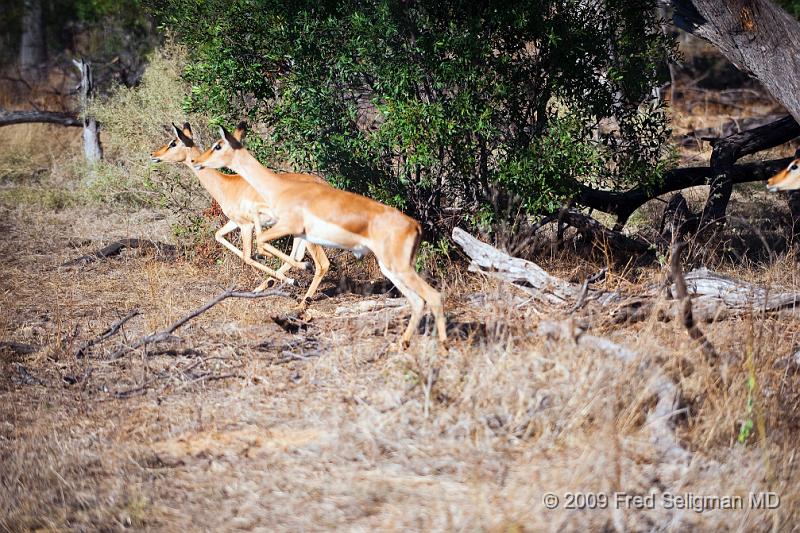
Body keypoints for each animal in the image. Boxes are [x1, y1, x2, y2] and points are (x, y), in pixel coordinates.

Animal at [150, 121, 328, 300]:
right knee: (298, 254)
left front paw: (289, 277)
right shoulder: (235, 222)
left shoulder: (246, 225)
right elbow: (219, 236)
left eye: (173, 143)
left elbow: (247, 257)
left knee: (321, 263)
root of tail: (323, 183)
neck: (226, 185)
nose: (153, 154)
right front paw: (289, 279)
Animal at [191, 123, 446, 350]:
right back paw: (402, 344)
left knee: (433, 297)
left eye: (218, 145)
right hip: (390, 268)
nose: (196, 161)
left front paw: (296, 272)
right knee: (418, 301)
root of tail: (415, 225)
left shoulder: (288, 228)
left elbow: (262, 244)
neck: (280, 188)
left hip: (399, 267)